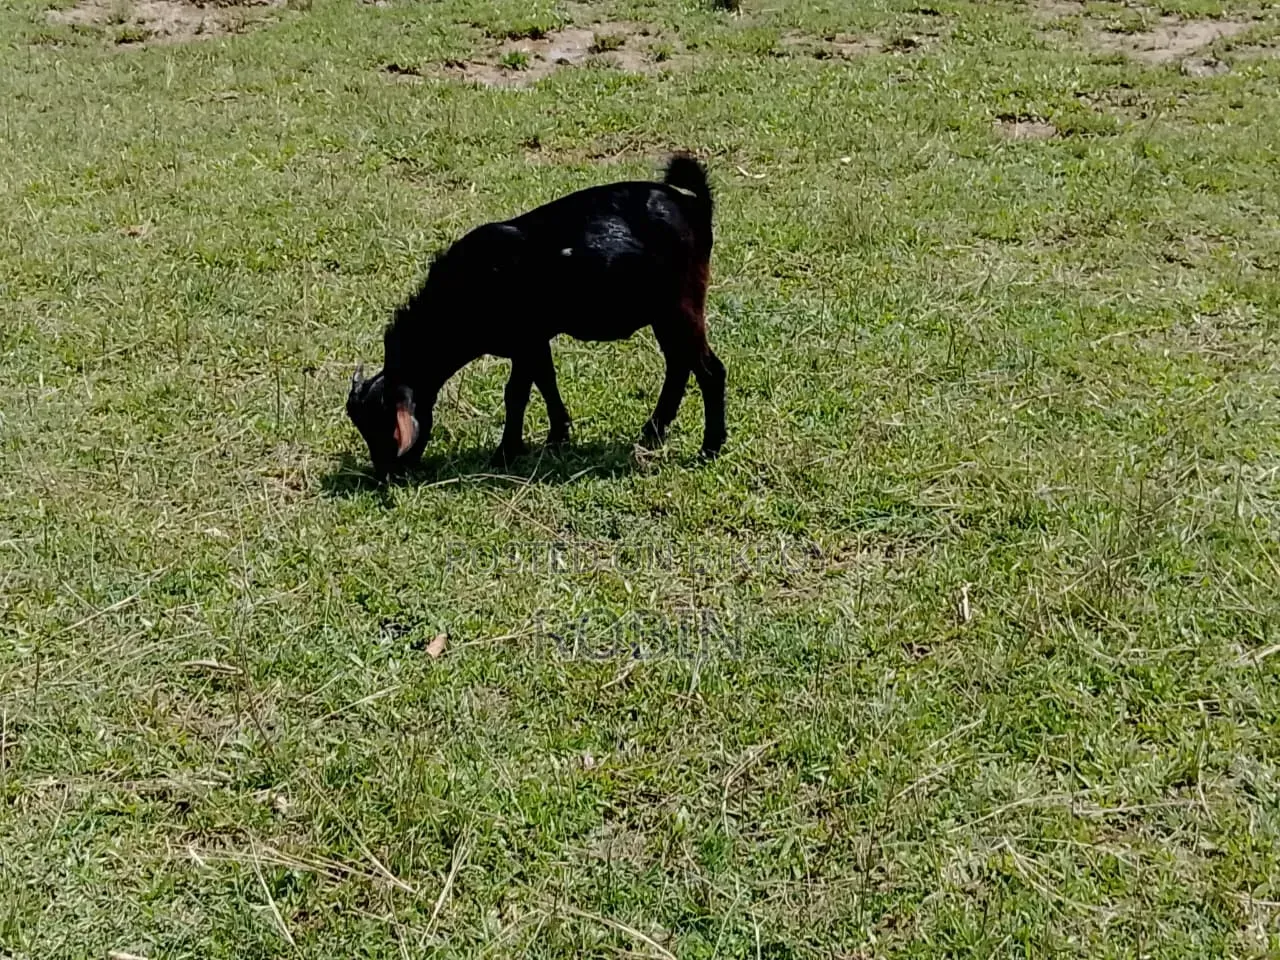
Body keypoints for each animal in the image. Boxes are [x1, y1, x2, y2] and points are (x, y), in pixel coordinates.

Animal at [346, 154, 725, 478]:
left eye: (386, 429)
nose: (385, 475)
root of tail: (693, 206)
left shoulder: (525, 340)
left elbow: (516, 394)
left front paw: (505, 452)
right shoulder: (536, 342)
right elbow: (546, 380)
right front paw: (558, 435)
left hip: (680, 307)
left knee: (709, 371)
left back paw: (710, 448)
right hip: (664, 316)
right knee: (679, 365)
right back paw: (653, 431)